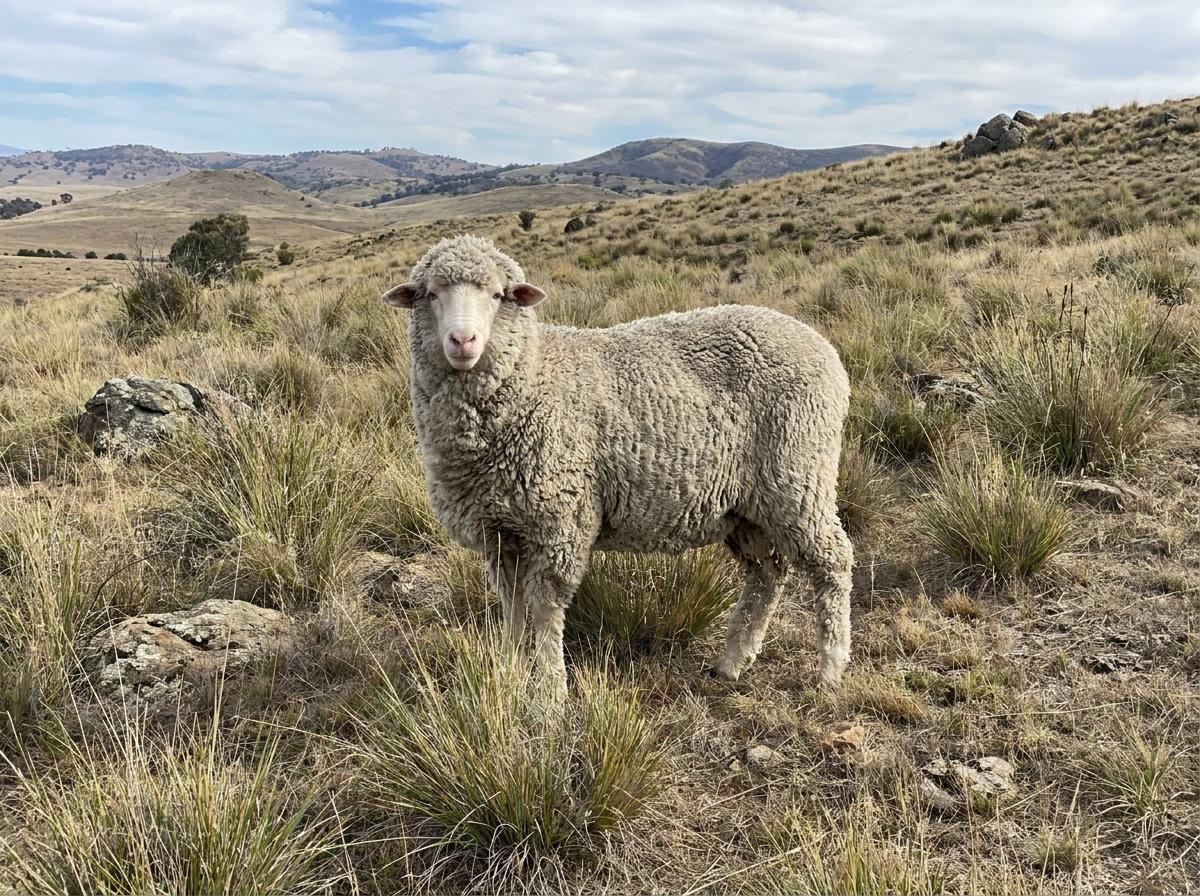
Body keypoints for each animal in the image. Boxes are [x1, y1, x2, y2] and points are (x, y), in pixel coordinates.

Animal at [383, 234, 853, 694]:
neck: (534, 374)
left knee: (833, 561)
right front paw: (508, 674)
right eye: (431, 294)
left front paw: (550, 693)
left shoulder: (560, 520)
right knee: (767, 574)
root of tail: (822, 347)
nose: (463, 341)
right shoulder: (501, 531)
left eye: (498, 295)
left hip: (798, 474)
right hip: (748, 505)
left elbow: (545, 609)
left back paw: (831, 667)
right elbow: (511, 607)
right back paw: (733, 661)